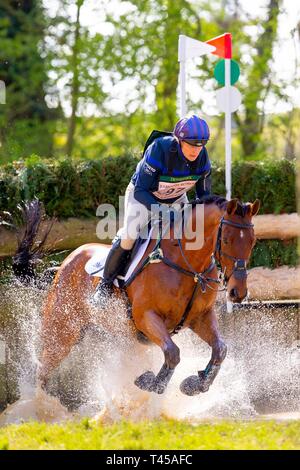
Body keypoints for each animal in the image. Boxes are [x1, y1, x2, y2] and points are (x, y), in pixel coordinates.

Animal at [37, 196, 258, 398]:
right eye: (226, 240)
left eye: (252, 241)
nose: (237, 292)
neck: (189, 266)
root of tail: (69, 259)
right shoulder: (146, 317)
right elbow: (172, 352)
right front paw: (152, 383)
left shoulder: (200, 316)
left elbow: (220, 349)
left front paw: (197, 384)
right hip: (62, 331)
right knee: (43, 368)